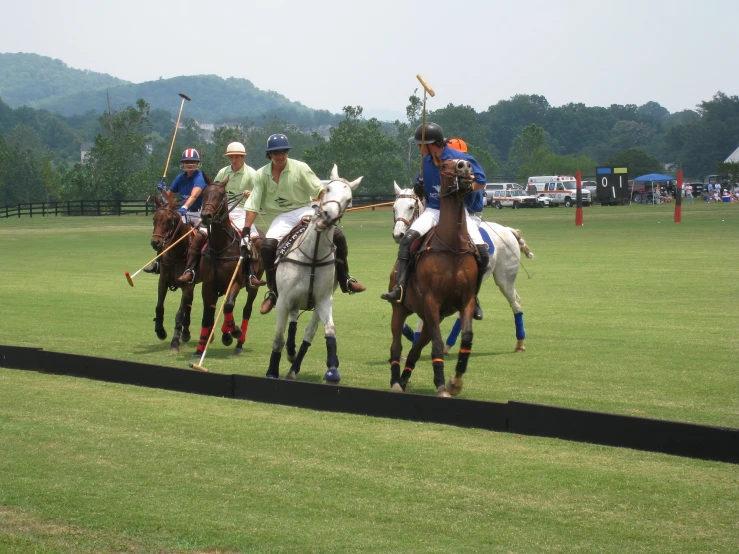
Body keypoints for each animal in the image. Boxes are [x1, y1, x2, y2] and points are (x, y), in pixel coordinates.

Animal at [148, 192, 197, 352]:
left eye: (169, 220)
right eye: (154, 219)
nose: (155, 243)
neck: (178, 252)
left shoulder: (188, 284)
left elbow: (180, 313)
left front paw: (175, 341)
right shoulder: (163, 280)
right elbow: (159, 306)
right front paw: (160, 331)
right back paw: (185, 333)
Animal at [194, 179, 266, 356]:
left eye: (221, 195)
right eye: (204, 193)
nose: (205, 216)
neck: (220, 247)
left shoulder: (235, 282)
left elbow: (228, 306)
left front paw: (233, 332)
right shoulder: (208, 285)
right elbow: (208, 314)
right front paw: (200, 348)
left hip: (254, 285)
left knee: (247, 309)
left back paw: (239, 343)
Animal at [266, 164, 362, 380]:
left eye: (349, 199)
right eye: (328, 189)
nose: (327, 216)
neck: (312, 257)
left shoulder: (324, 300)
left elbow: (328, 331)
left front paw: (332, 368)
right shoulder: (283, 301)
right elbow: (278, 338)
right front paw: (272, 371)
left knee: (308, 332)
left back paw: (294, 366)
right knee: (292, 322)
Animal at [388, 157, 480, 394]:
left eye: (411, 206)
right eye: (447, 165)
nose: (465, 167)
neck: (452, 245)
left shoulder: (465, 300)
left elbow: (467, 337)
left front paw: (455, 382)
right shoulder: (431, 300)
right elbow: (437, 344)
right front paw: (441, 385)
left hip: (431, 317)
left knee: (415, 350)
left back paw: (403, 380)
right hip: (400, 309)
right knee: (396, 346)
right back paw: (395, 382)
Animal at [390, 181, 536, 354]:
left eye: (411, 207)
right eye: (394, 207)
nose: (398, 235)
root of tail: (508, 230)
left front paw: (416, 341)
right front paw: (412, 337)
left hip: (505, 278)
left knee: (515, 302)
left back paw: (520, 344)